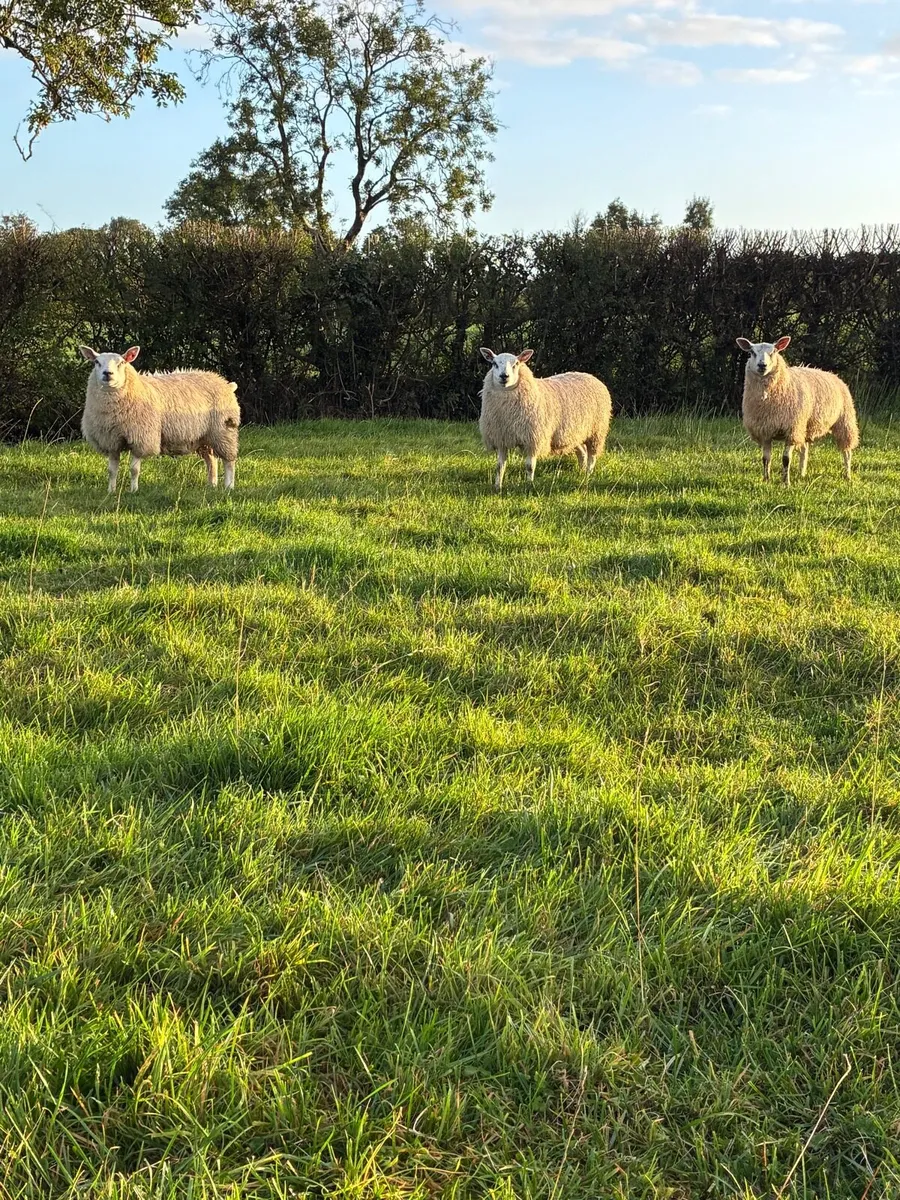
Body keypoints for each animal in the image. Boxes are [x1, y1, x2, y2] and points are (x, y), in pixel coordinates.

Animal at [79, 345, 240, 493]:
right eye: (97, 362)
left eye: (122, 363)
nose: (108, 374)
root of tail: (224, 382)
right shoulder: (111, 441)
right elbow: (112, 471)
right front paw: (111, 491)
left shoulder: (141, 438)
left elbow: (134, 470)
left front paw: (134, 491)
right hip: (204, 437)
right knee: (211, 461)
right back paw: (211, 485)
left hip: (224, 430)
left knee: (229, 461)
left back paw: (229, 486)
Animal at [478, 348, 612, 491]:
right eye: (494, 364)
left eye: (516, 364)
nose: (504, 376)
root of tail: (591, 376)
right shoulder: (501, 438)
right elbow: (499, 467)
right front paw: (497, 487)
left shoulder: (533, 439)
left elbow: (529, 466)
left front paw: (529, 486)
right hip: (574, 434)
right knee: (582, 452)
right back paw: (581, 472)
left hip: (597, 431)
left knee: (592, 455)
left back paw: (588, 474)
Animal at [736, 336, 859, 485]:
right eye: (752, 352)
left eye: (774, 352)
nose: (762, 365)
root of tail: (833, 375)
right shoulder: (765, 431)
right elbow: (765, 459)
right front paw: (766, 480)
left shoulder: (791, 430)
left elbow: (786, 459)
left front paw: (785, 483)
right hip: (805, 425)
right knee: (804, 450)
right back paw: (802, 473)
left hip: (844, 421)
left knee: (847, 451)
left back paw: (847, 475)